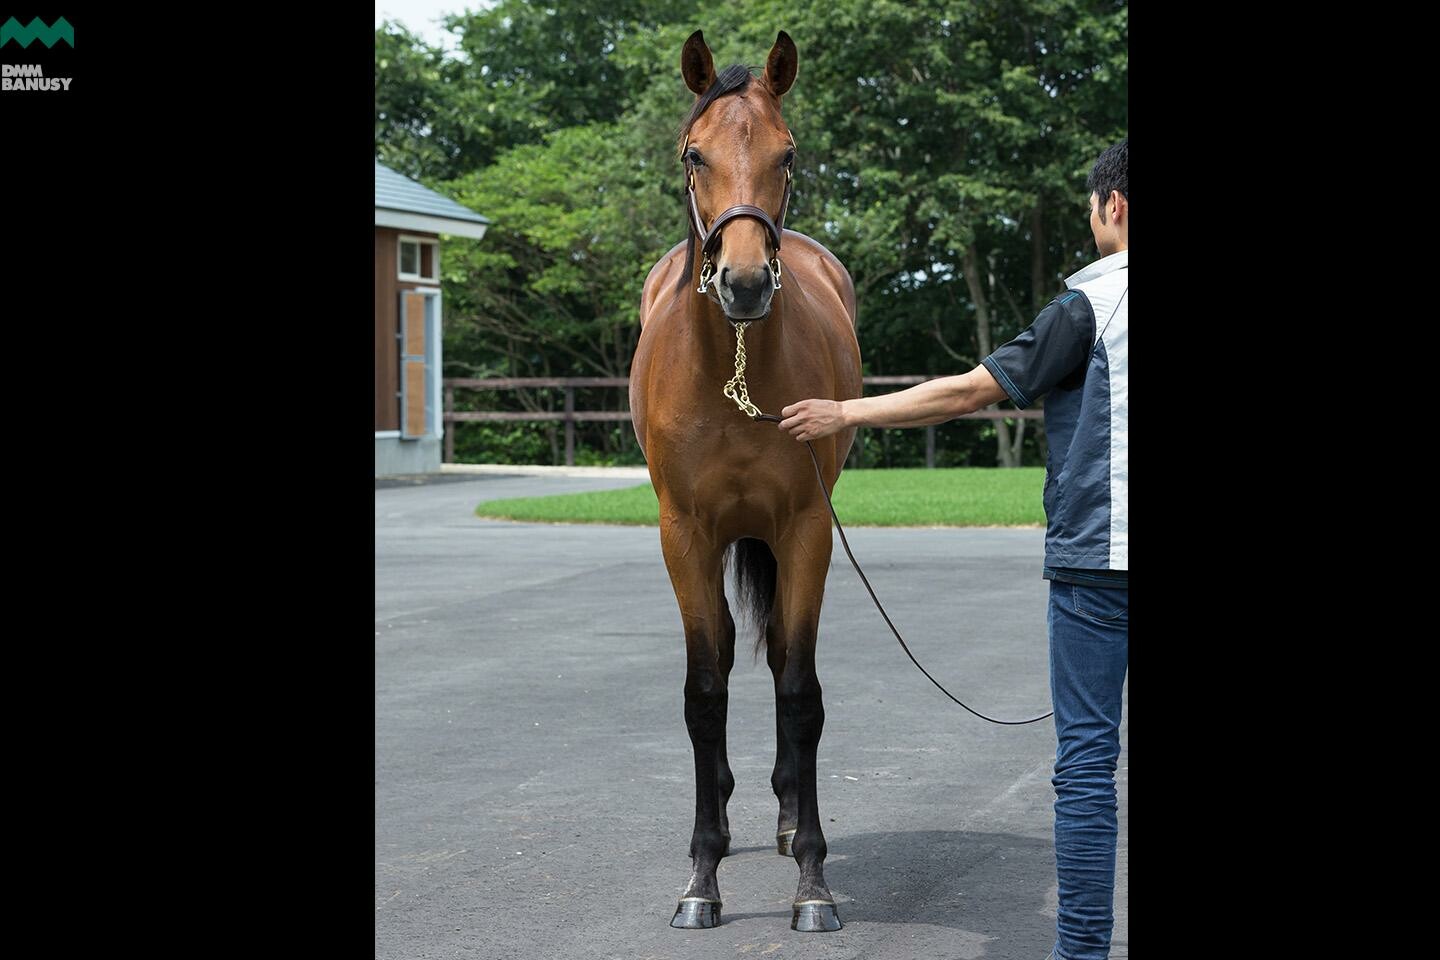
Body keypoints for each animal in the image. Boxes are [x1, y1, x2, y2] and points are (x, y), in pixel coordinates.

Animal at [628, 29, 863, 933]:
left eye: (786, 153)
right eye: (693, 154)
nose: (746, 281)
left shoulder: (804, 527)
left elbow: (799, 688)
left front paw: (813, 881)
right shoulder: (684, 535)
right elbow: (704, 690)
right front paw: (700, 878)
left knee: (780, 664)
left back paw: (791, 817)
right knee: (729, 659)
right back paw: (726, 827)